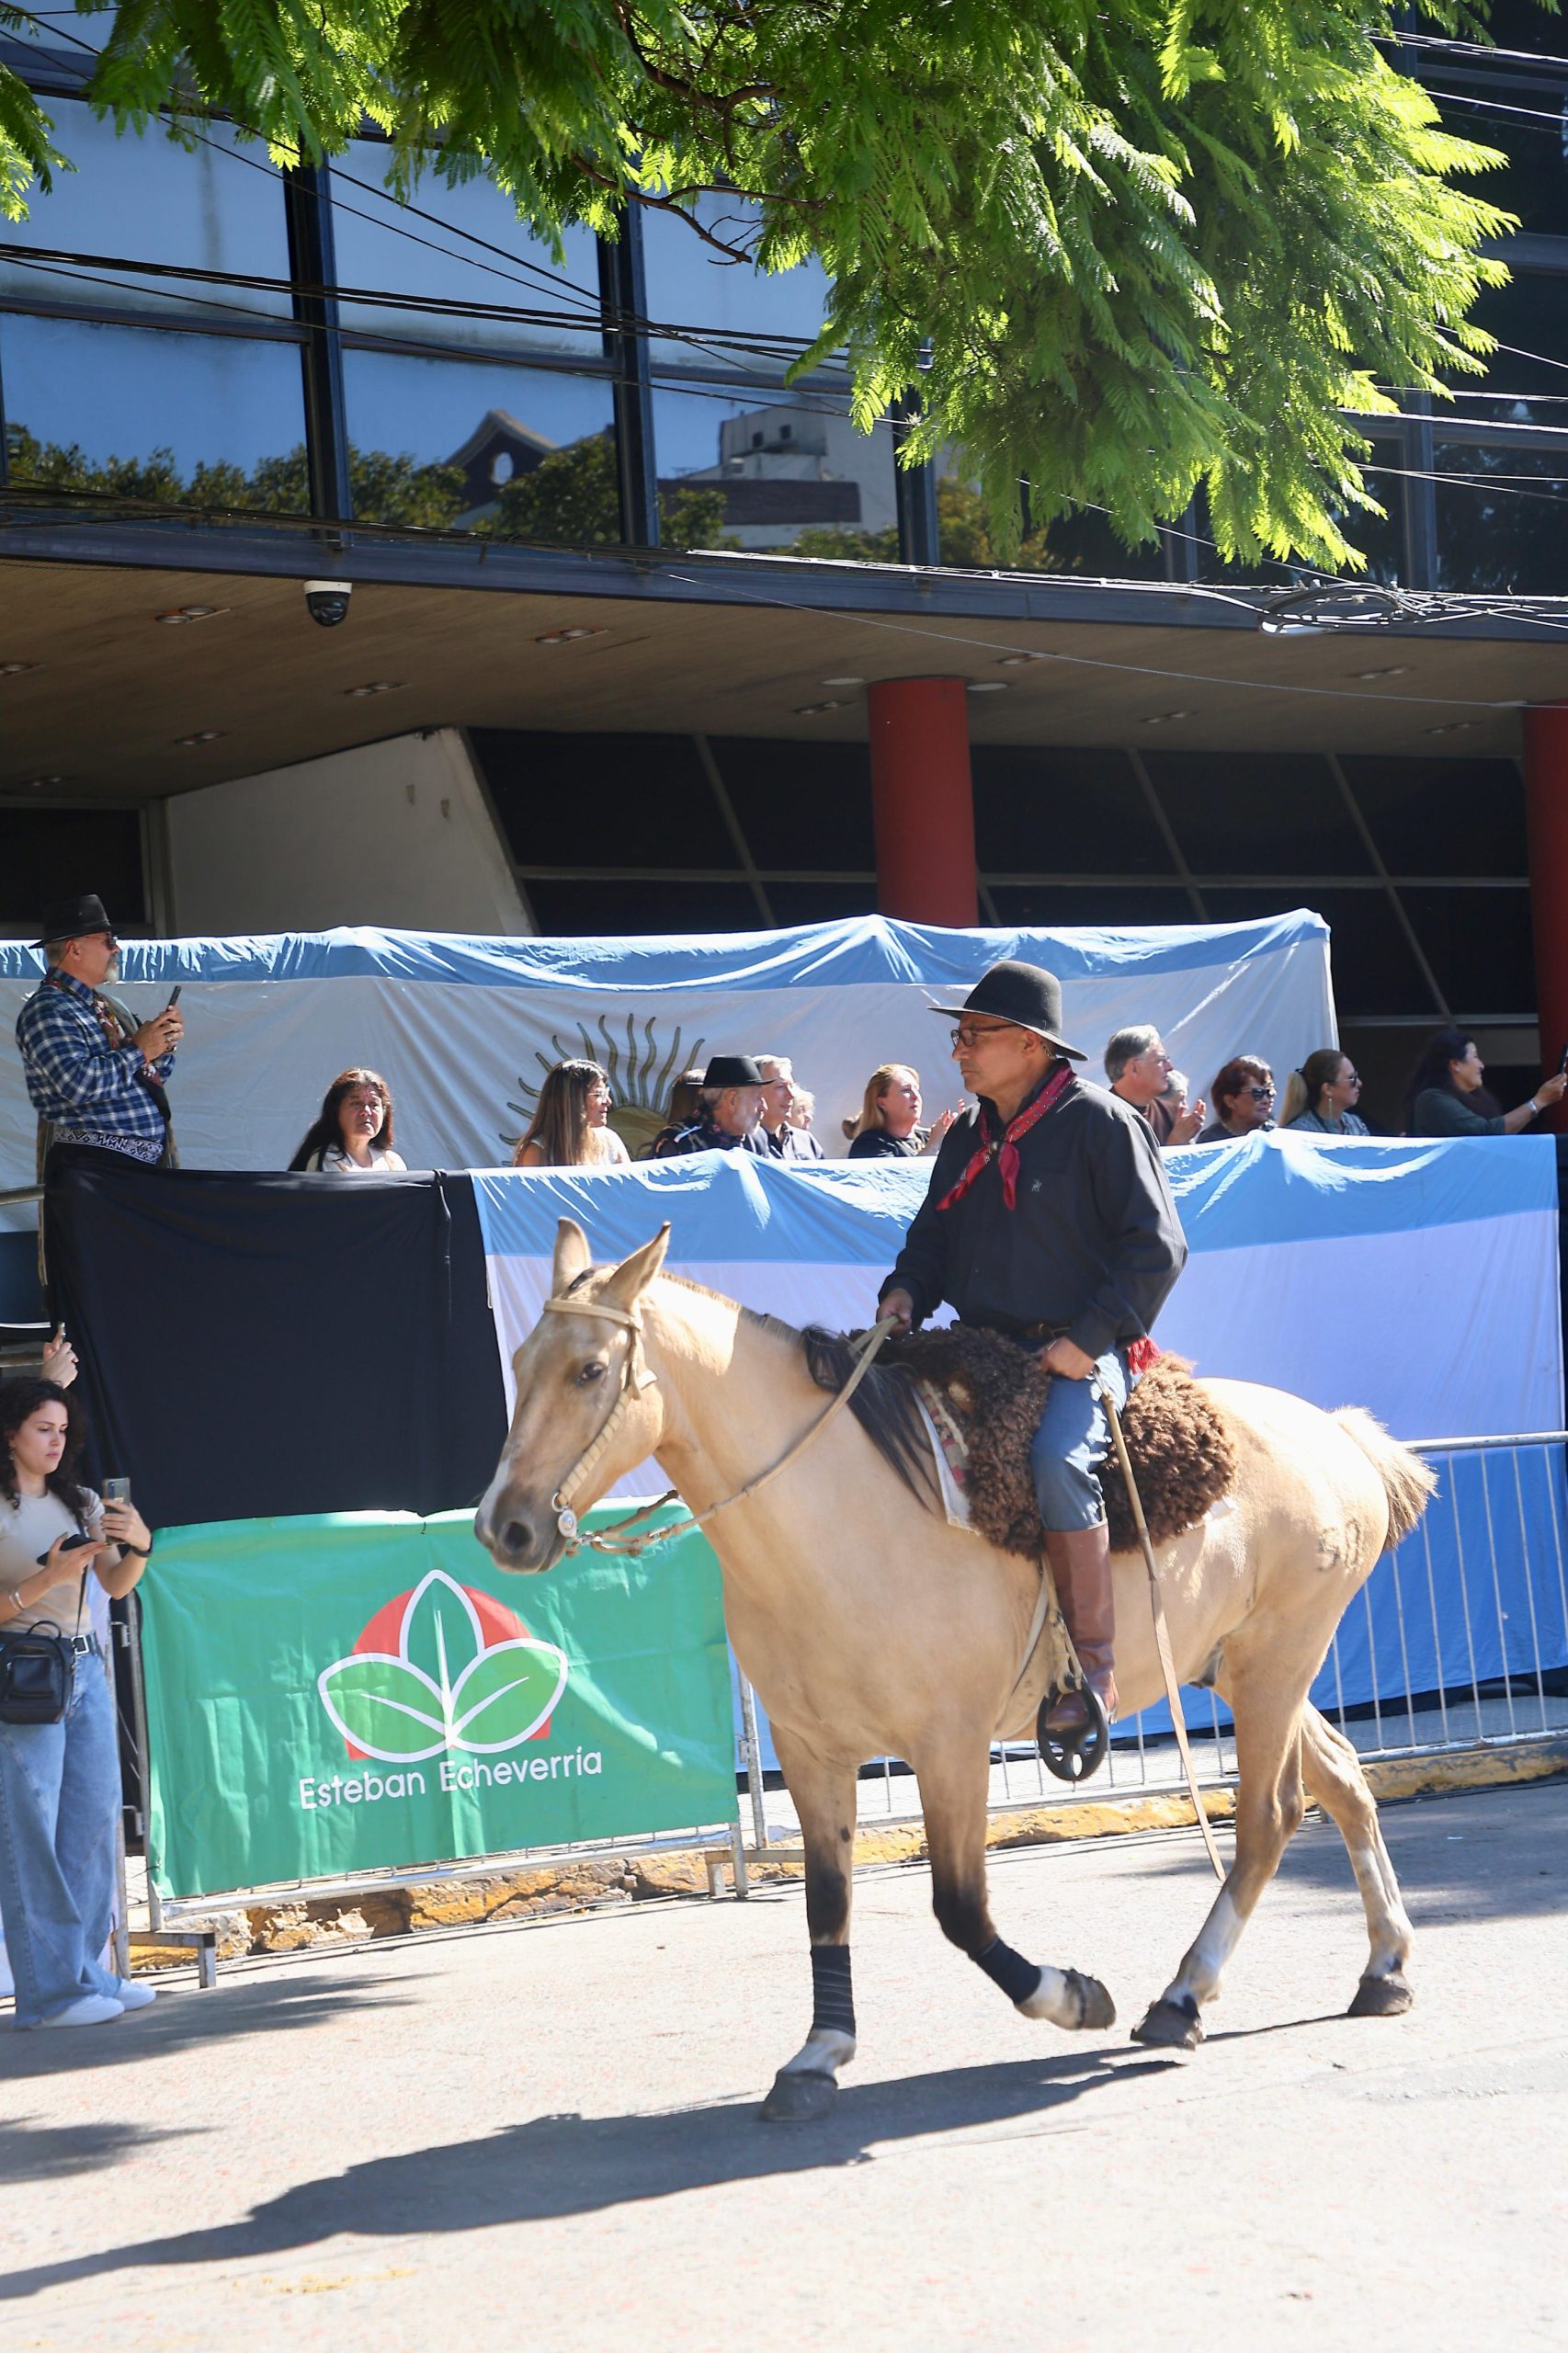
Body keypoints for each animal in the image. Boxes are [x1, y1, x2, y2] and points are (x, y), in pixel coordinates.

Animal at [474, 1218, 1436, 2120]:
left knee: (1269, 1816)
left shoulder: (950, 1746)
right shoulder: (812, 1750)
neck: (839, 1516)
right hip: (1240, 1666)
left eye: (590, 1370)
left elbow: (960, 1907)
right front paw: (818, 2053)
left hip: (1281, 1657)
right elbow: (827, 1902)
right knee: (1343, 1777)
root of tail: (1337, 1434)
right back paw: (1384, 1967)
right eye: (518, 1362)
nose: (503, 1527)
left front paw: (1072, 1997)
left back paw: (1183, 1996)